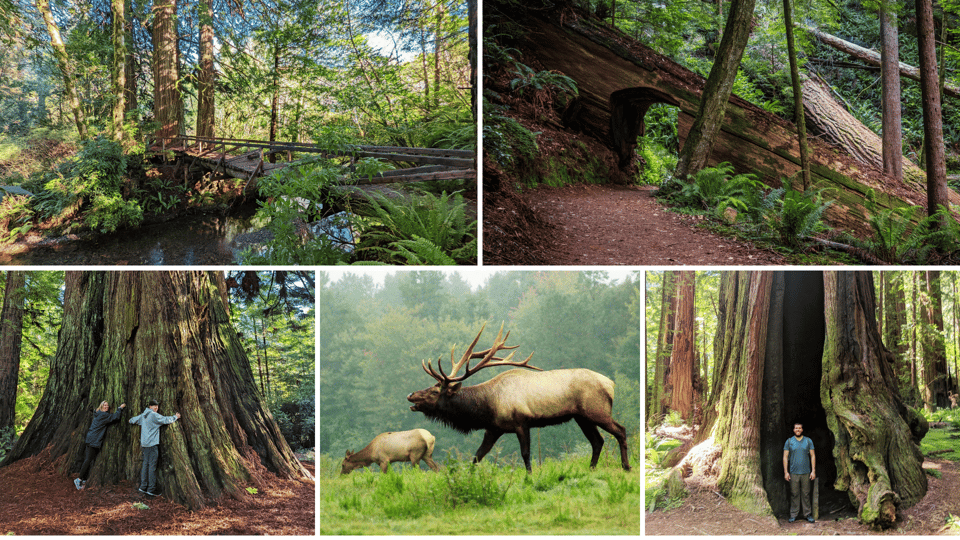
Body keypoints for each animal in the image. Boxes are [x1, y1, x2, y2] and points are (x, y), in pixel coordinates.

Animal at [404, 322, 632, 470]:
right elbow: (477, 456)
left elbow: (525, 454)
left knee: (620, 430)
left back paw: (626, 466)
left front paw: (529, 477)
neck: (487, 407)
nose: (411, 395)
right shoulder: (493, 429)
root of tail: (611, 384)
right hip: (581, 417)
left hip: (597, 410)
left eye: (435, 391)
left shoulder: (522, 422)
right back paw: (591, 469)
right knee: (598, 441)